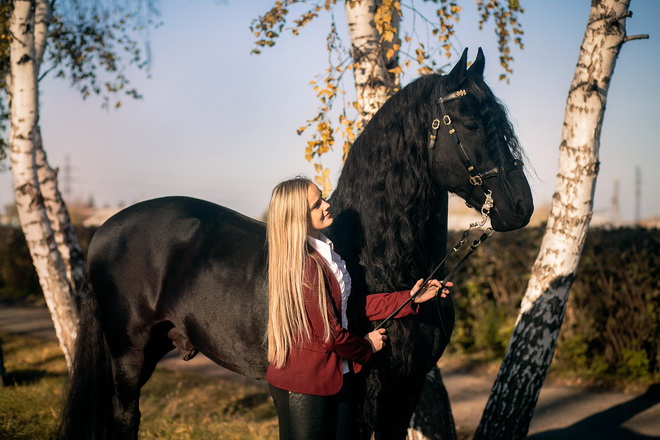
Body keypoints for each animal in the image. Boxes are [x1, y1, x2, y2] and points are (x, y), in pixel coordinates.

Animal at [56, 46, 532, 438]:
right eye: (471, 123)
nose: (521, 206)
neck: (381, 258)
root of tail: (105, 230)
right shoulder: (369, 390)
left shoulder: (405, 390)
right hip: (128, 354)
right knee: (124, 417)